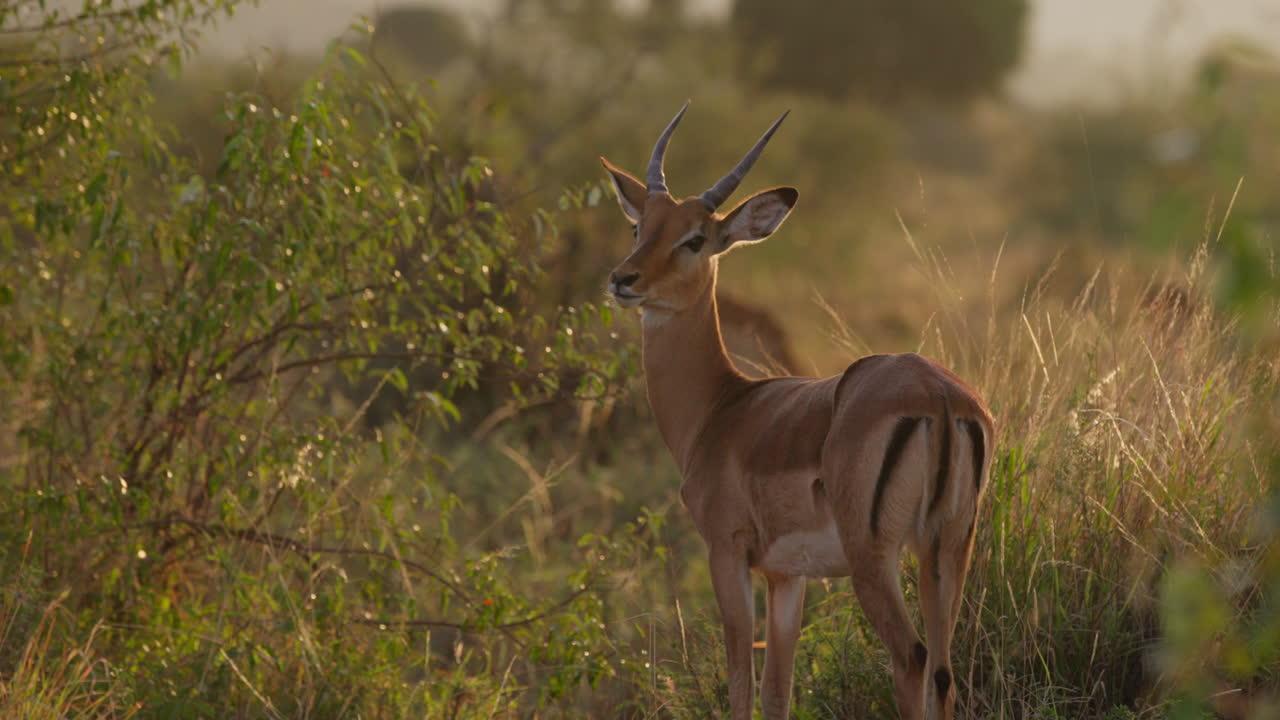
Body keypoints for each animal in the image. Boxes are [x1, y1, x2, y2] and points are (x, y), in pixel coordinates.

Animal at [601, 104, 993, 720]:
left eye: (695, 239)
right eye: (640, 227)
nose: (624, 279)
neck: (720, 408)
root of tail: (939, 396)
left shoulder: (728, 552)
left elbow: (740, 680)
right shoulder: (789, 576)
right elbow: (777, 689)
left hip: (876, 557)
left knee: (912, 660)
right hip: (948, 548)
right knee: (944, 671)